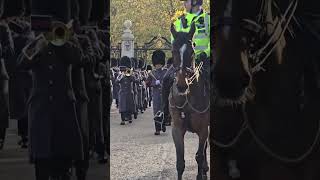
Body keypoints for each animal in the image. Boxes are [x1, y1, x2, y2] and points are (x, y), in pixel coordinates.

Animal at [169, 23, 211, 179]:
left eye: (192, 52)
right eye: (173, 51)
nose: (182, 85)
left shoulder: (203, 128)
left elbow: (199, 155)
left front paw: (201, 174)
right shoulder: (176, 129)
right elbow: (180, 162)